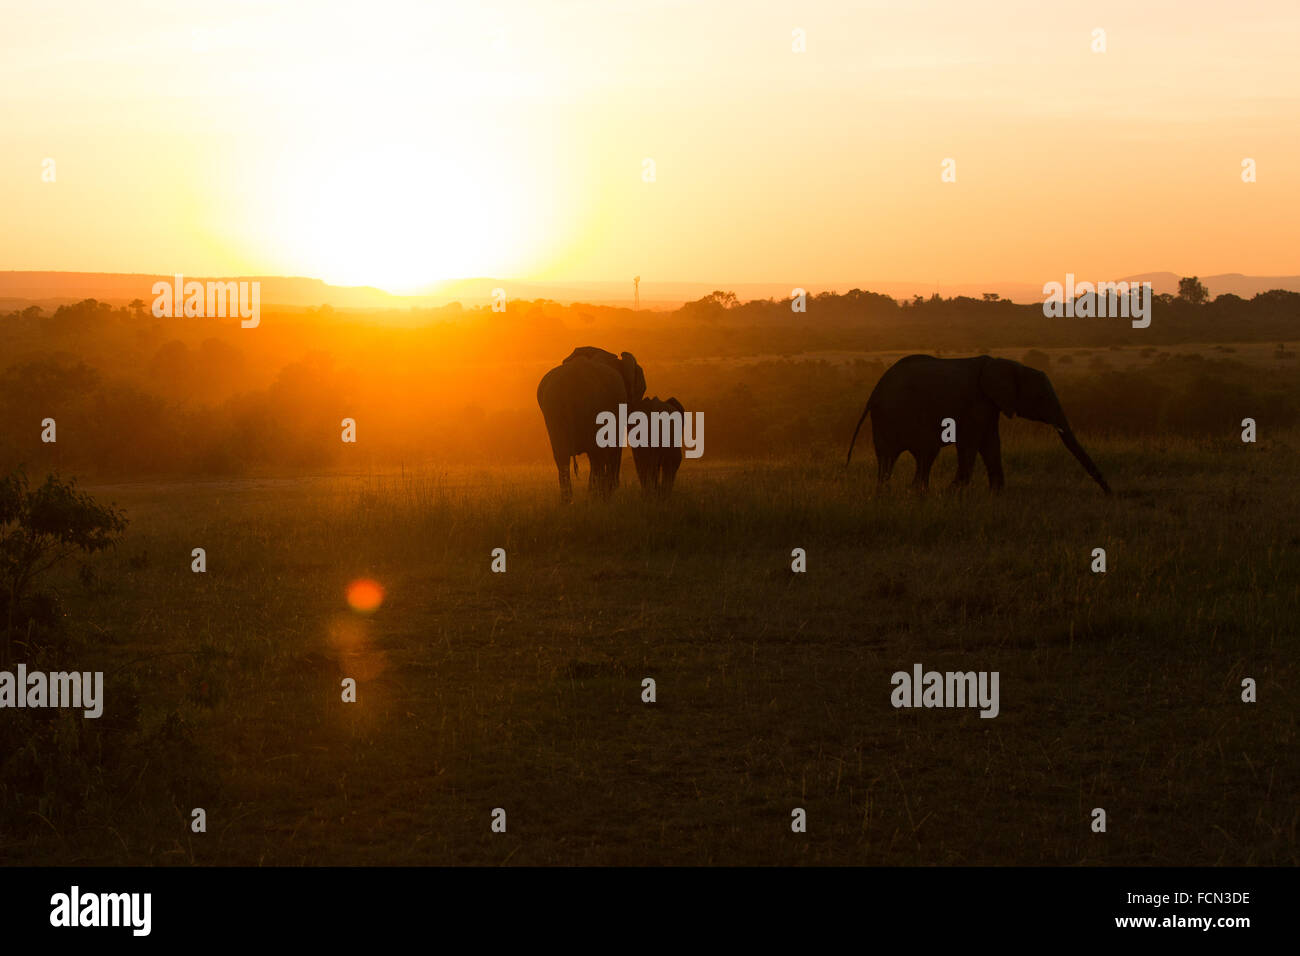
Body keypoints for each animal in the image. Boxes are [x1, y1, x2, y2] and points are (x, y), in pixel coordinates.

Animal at [847, 356, 1112, 496]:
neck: (1007, 364)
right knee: (923, 451)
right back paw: (917, 493)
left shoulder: (990, 404)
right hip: (896, 412)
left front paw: (996, 493)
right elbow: (971, 442)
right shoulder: (977, 402)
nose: (1111, 493)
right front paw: (954, 492)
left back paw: (893, 493)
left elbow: (991, 443)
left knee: (890, 457)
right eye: (1040, 397)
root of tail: (874, 393)